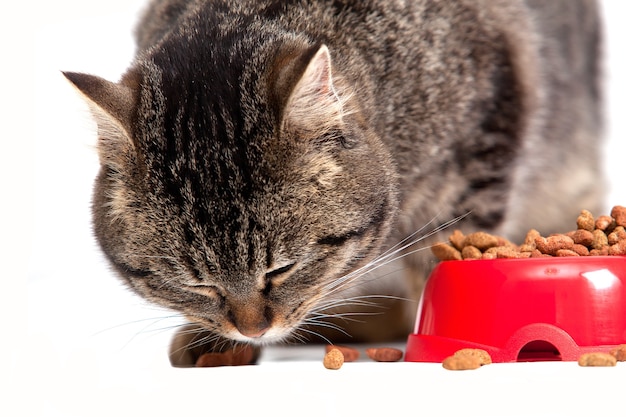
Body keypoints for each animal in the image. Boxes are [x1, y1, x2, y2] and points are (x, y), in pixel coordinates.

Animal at [62, 0, 600, 364]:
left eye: (282, 269)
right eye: (199, 285)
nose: (254, 330)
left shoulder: (484, 132)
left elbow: (447, 251)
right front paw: (216, 341)